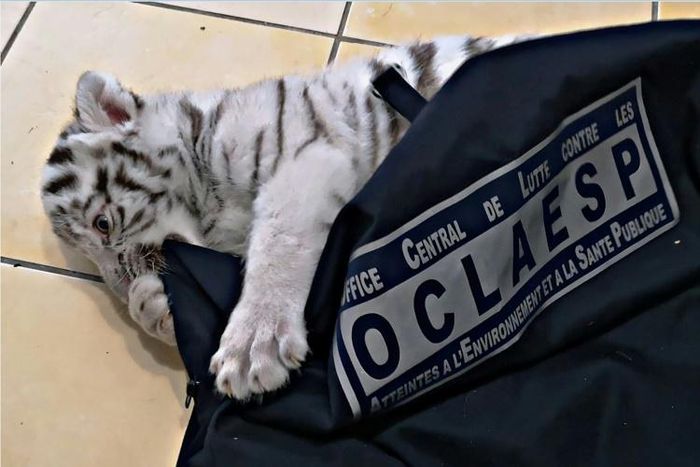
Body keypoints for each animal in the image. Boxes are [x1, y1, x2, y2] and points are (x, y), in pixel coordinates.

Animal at [40, 35, 526, 400]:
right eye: (92, 262)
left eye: (103, 224)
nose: (121, 287)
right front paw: (152, 304)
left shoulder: (305, 158)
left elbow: (279, 243)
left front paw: (255, 345)